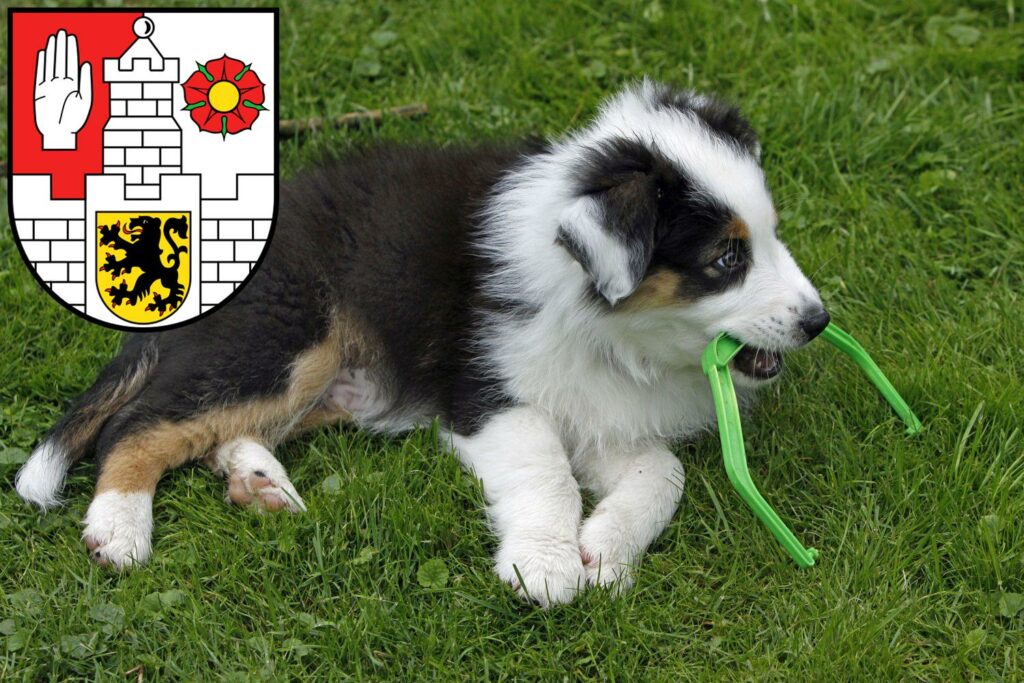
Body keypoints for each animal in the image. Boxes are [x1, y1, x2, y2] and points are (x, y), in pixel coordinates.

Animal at [18, 81, 831, 610]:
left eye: (772, 233)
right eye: (726, 259)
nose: (818, 321)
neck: (613, 324)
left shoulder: (602, 409)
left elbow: (663, 473)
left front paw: (604, 550)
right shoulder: (488, 392)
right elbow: (547, 473)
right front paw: (545, 564)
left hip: (341, 381)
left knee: (225, 427)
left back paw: (258, 483)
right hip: (292, 335)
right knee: (138, 422)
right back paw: (119, 527)